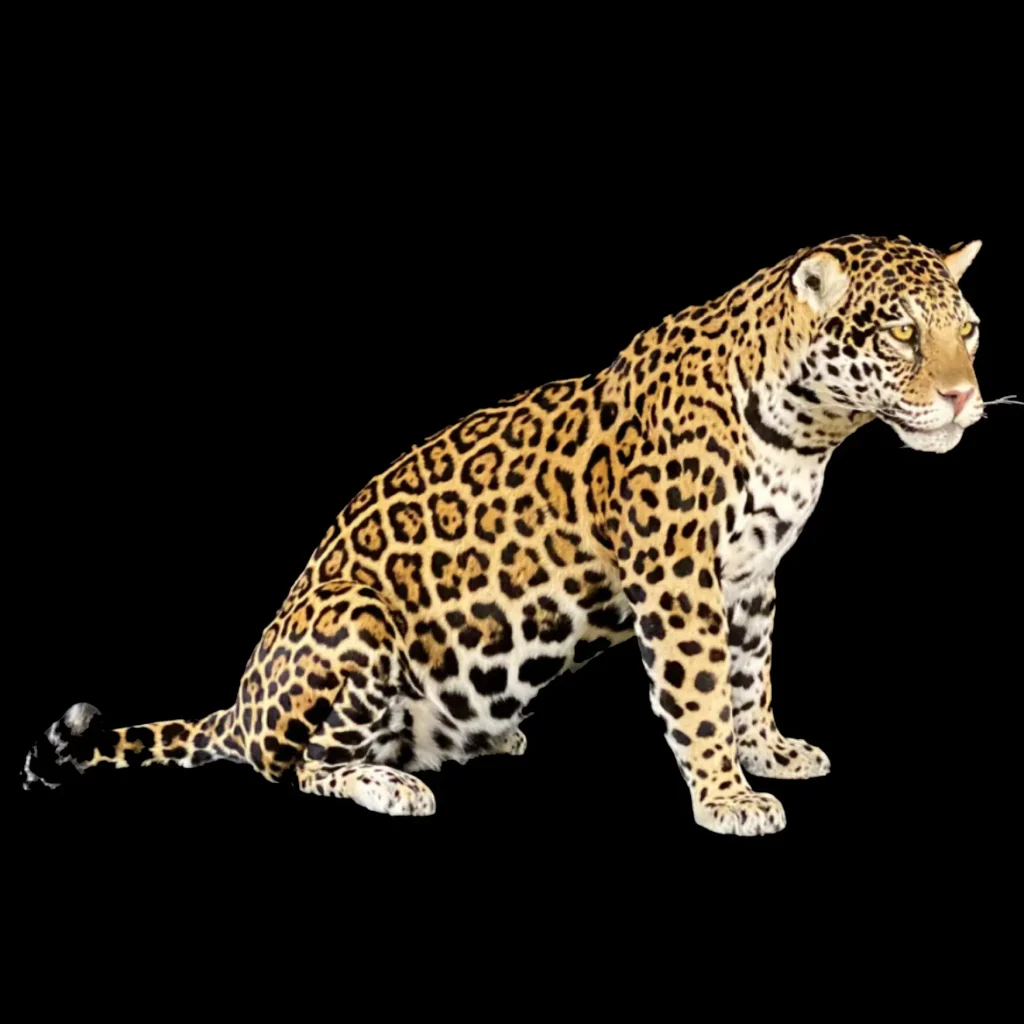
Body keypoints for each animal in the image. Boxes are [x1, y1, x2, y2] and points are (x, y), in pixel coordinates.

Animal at [22, 234, 985, 836]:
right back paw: (391, 783)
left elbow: (751, 679)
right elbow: (701, 694)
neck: (807, 430)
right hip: (353, 621)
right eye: (901, 333)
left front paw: (768, 753)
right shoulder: (680, 579)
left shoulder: (749, 581)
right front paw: (726, 795)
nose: (964, 398)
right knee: (294, 765)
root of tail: (241, 703)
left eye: (969, 329)